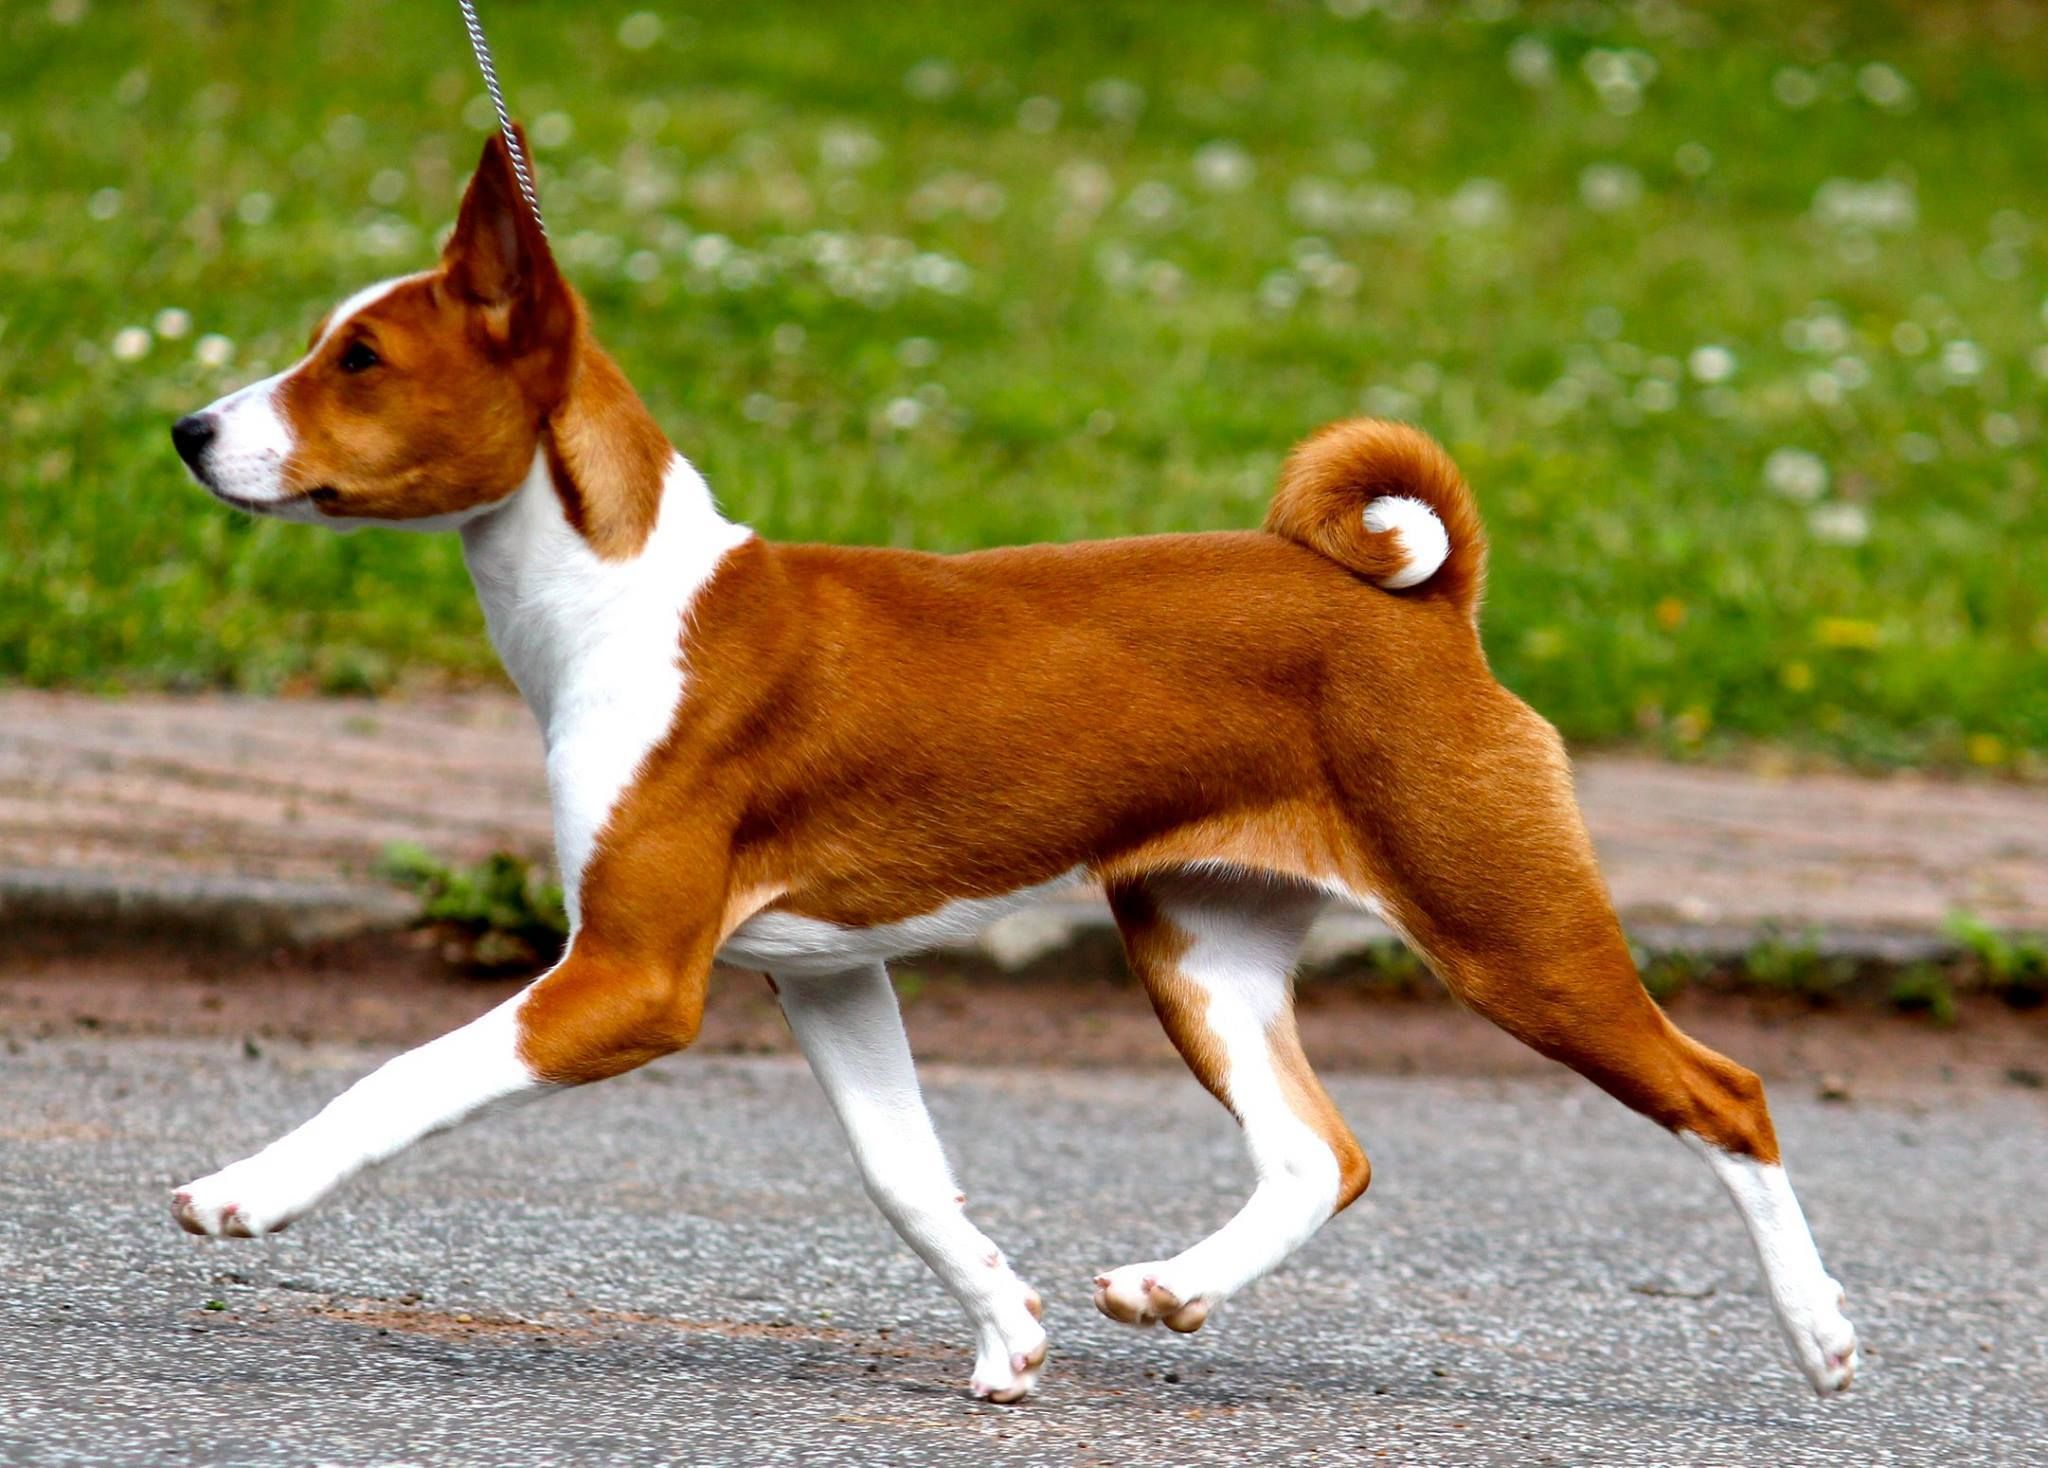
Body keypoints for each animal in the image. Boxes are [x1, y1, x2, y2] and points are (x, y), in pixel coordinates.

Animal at [163, 128, 1859, 1400]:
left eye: (358, 358)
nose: (186, 430)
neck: (624, 602)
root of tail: (1430, 609)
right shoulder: (826, 972)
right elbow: (907, 1174)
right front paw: (1008, 1332)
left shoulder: (633, 975)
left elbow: (404, 1077)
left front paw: (248, 1191)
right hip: (1200, 944)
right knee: (1322, 1158)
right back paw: (1171, 1288)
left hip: (1508, 929)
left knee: (1728, 1095)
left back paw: (1825, 1340)